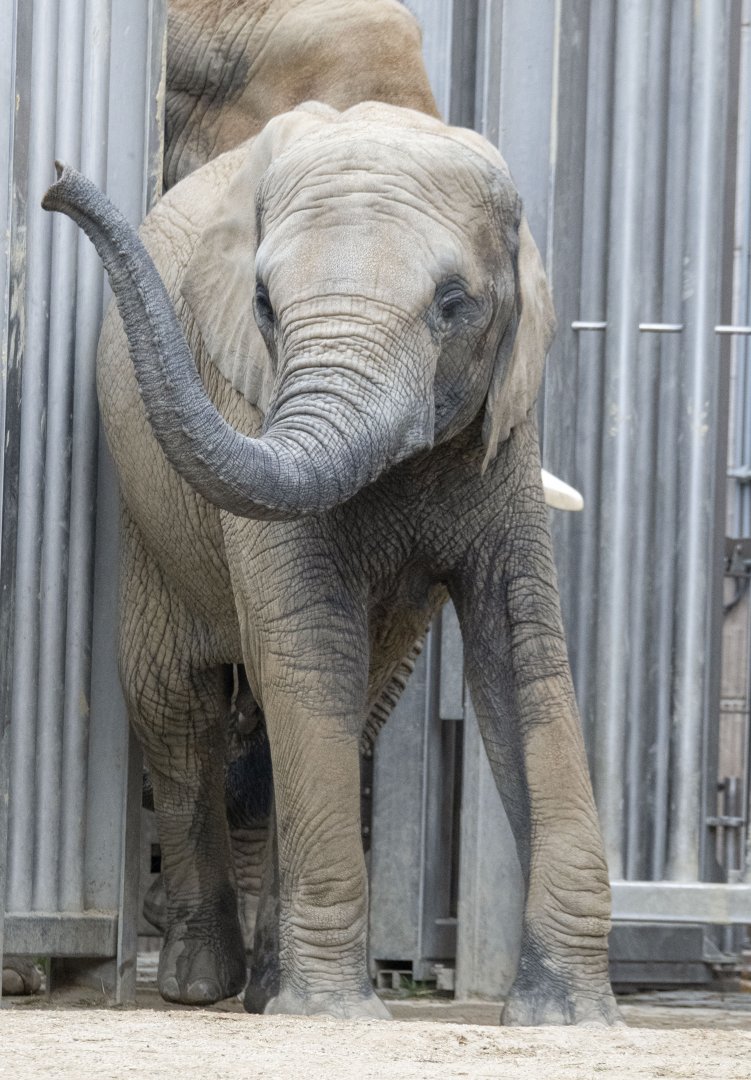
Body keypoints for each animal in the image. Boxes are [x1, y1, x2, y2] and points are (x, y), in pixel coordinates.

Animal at [43, 99, 617, 1025]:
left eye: (453, 304)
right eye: (264, 304)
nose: (57, 180)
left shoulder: (506, 426)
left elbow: (521, 647)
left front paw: (567, 1016)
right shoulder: (248, 395)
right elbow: (308, 643)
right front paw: (331, 1015)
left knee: (346, 703)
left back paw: (263, 985)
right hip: (146, 512)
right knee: (178, 706)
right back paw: (202, 982)